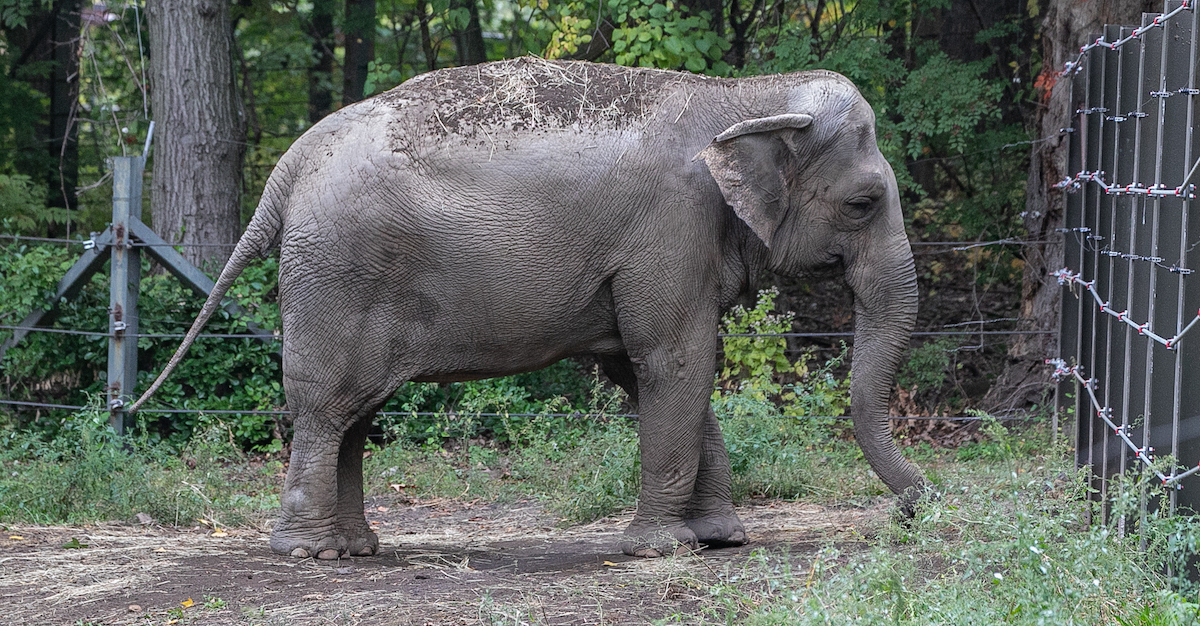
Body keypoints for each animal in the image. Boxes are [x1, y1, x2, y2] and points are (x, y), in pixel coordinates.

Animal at [131, 56, 921, 558]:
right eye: (862, 203)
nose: (916, 508)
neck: (743, 96)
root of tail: (289, 166)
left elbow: (648, 370)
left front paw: (720, 538)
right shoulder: (671, 229)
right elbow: (676, 361)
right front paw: (661, 549)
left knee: (357, 413)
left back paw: (356, 548)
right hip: (338, 274)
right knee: (328, 407)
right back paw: (309, 555)